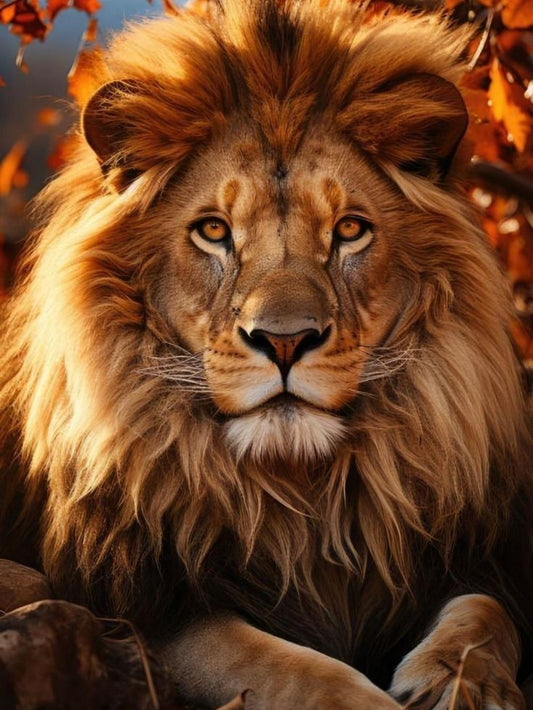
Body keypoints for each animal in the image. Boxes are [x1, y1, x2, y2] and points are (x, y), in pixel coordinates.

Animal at [0, 0, 531, 707]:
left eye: (350, 229)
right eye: (213, 231)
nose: (284, 341)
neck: (304, 497)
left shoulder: (476, 563)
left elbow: (484, 612)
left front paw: (460, 678)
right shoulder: (146, 612)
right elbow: (288, 667)